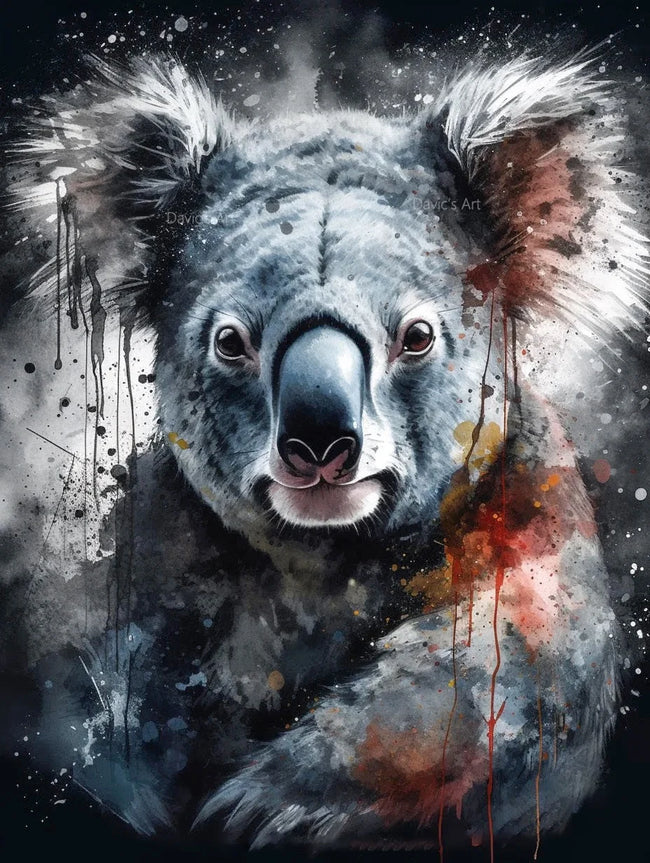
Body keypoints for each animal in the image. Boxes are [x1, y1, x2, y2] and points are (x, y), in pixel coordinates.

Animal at [0, 46, 647, 856]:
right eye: (231, 341)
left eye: (417, 336)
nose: (320, 441)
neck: (327, 564)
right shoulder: (149, 561)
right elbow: (118, 699)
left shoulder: (531, 536)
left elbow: (494, 682)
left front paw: (262, 804)